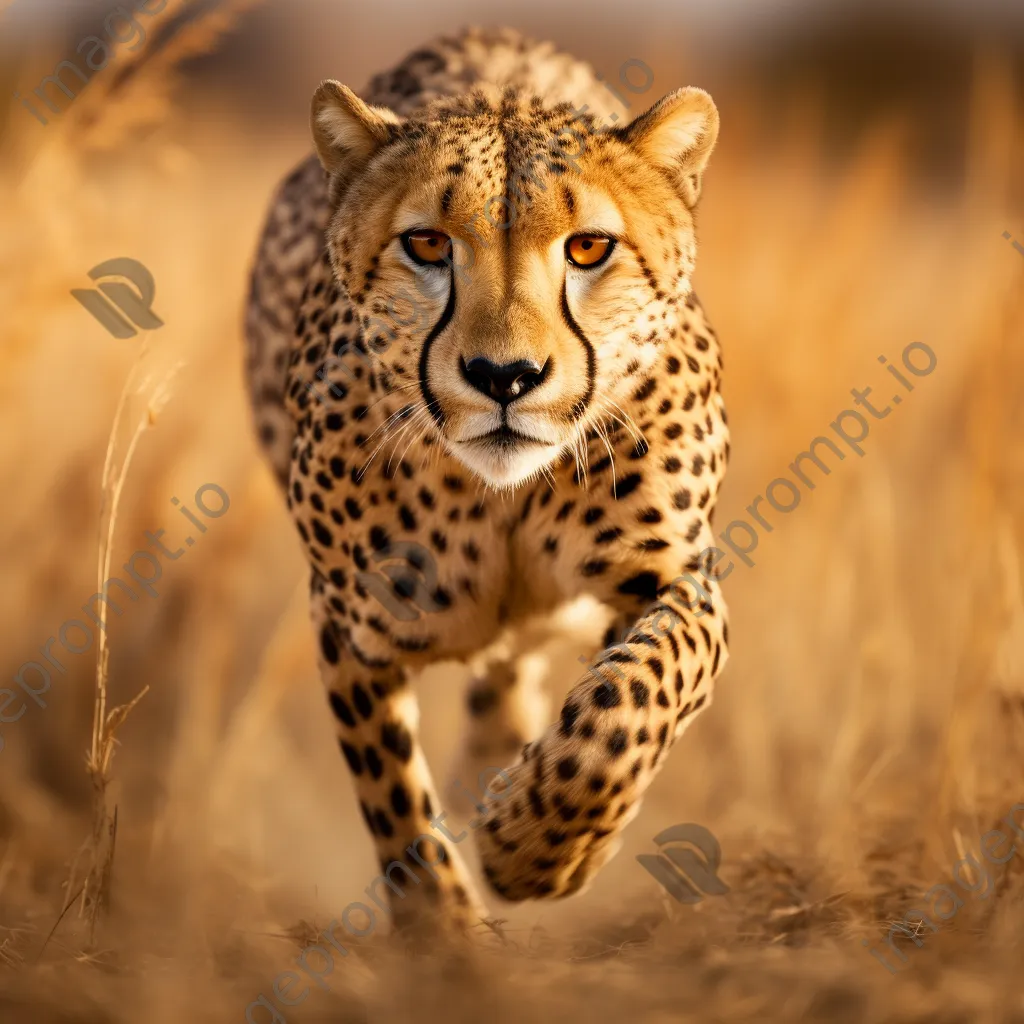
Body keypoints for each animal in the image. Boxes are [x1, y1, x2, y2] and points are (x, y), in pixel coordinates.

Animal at [244, 24, 729, 937]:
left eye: (588, 247)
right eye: (428, 244)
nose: (505, 376)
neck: (502, 494)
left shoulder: (677, 573)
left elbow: (644, 689)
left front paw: (538, 845)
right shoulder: (350, 623)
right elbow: (394, 799)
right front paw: (448, 938)